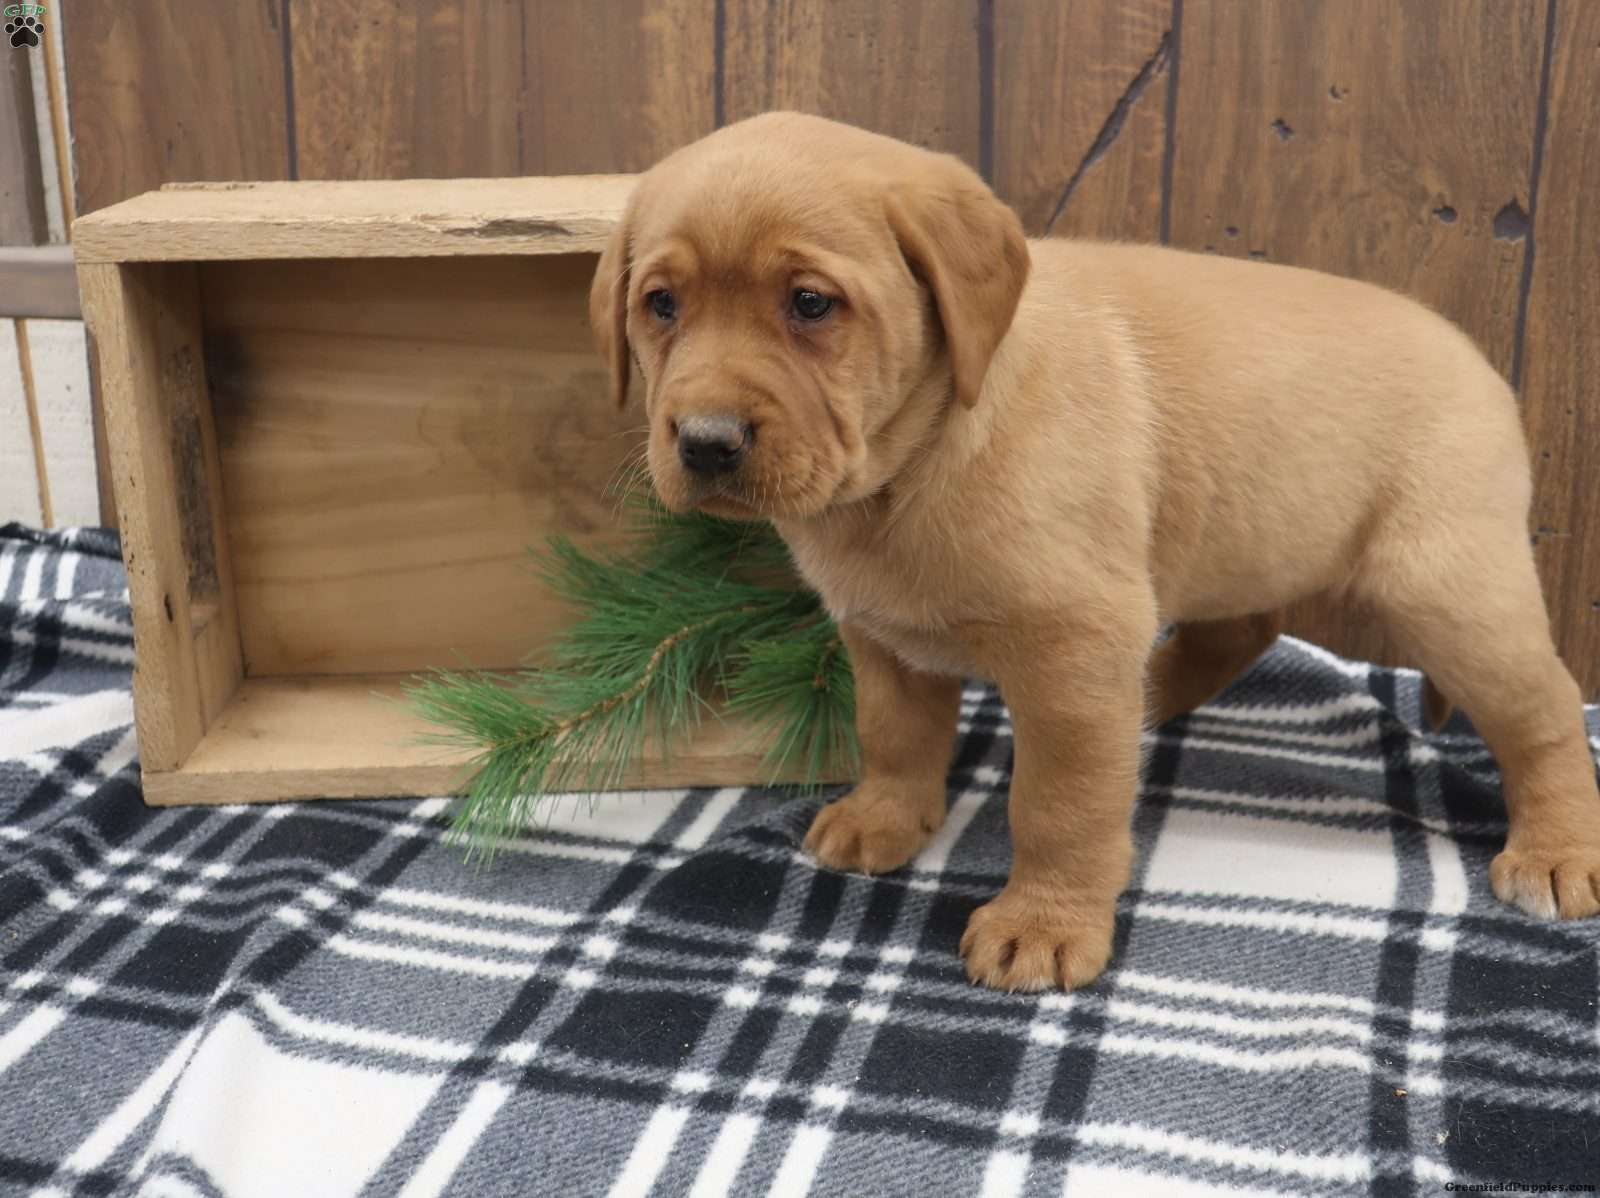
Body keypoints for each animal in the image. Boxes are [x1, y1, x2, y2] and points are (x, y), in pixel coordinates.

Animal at [588, 112, 1600, 991]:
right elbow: (896, 737)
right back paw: (1149, 699)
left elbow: (1061, 803)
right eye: (661, 305)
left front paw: (1043, 922)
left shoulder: (1075, 644)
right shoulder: (881, 639)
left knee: (1546, 709)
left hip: (1447, 588)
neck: (908, 468)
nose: (706, 443)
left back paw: (1559, 851)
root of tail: (1484, 365)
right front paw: (886, 816)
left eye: (809, 304)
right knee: (1240, 632)